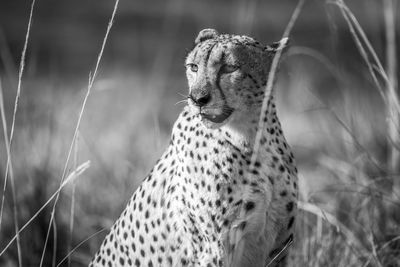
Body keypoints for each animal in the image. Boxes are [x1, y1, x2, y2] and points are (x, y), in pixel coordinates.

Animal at [90, 29, 296, 267]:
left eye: (230, 68)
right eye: (194, 67)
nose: (198, 99)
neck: (254, 138)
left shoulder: (279, 246)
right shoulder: (215, 249)